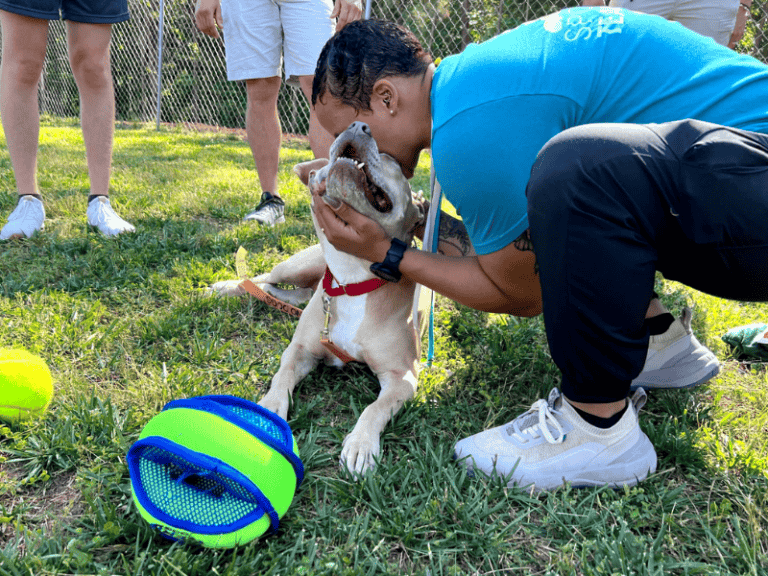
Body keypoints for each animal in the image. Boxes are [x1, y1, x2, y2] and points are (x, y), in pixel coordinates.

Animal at [210, 121, 426, 472]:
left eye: (392, 160)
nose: (358, 125)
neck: (351, 278)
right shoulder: (298, 350)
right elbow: (280, 378)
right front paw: (268, 411)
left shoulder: (402, 376)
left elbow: (375, 408)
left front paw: (361, 444)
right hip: (294, 266)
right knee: (262, 278)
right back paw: (224, 287)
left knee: (282, 292)